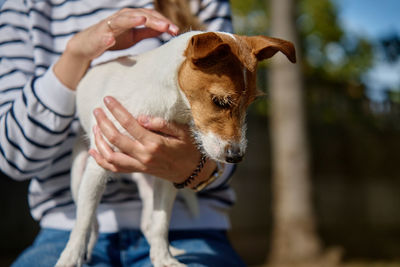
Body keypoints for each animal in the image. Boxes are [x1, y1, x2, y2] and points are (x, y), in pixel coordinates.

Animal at [55, 30, 294, 266]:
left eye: (250, 103)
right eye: (220, 101)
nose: (236, 156)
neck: (169, 107)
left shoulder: (167, 172)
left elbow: (161, 223)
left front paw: (164, 259)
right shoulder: (97, 168)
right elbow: (83, 222)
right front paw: (70, 258)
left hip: (148, 184)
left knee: (148, 224)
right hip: (79, 175)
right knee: (91, 220)